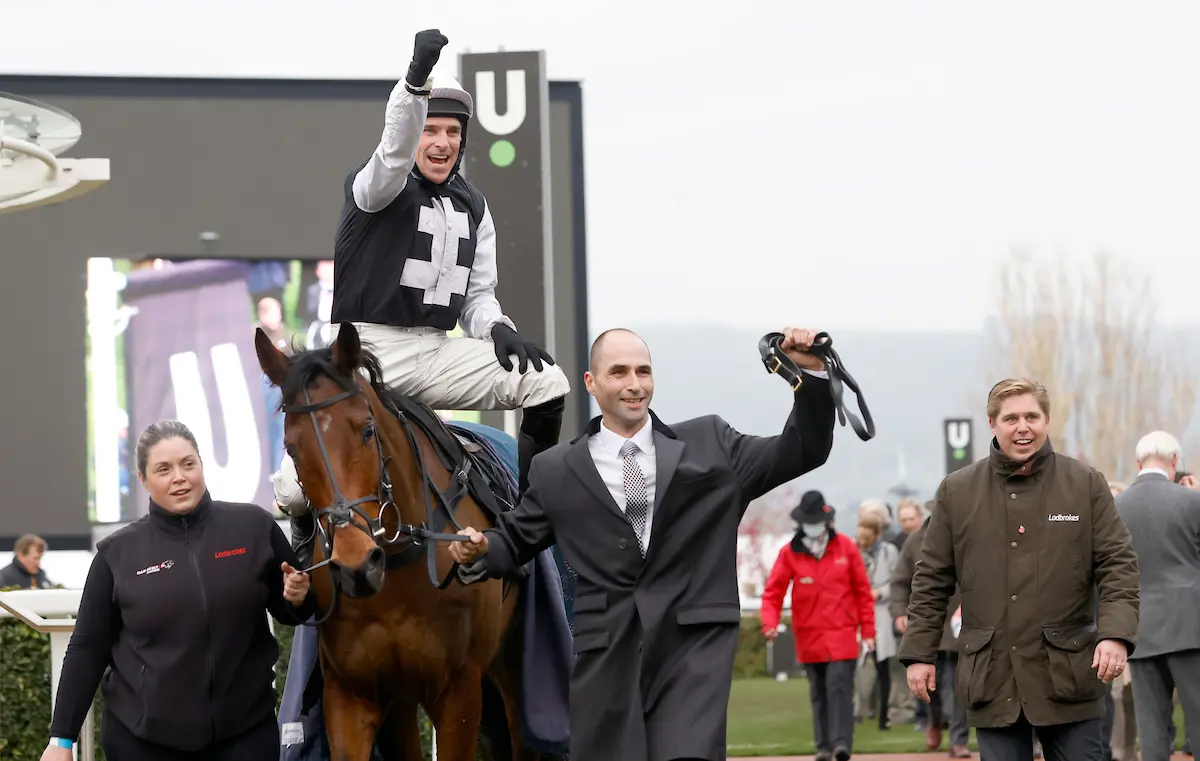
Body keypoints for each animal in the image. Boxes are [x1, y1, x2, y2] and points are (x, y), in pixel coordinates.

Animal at [255, 321, 544, 761]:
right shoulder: (354, 694)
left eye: (367, 429)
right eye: (291, 447)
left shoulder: (459, 692)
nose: (357, 567)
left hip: (514, 674)